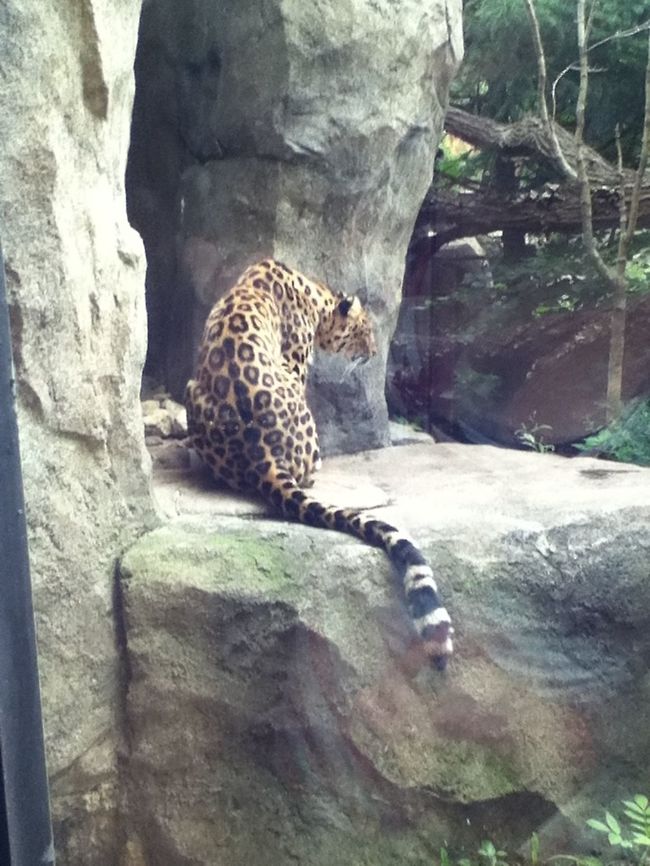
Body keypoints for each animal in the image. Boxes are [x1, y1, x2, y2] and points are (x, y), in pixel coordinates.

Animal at [185, 259, 454, 668]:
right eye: (364, 331)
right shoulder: (296, 361)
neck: (315, 293)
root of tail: (261, 455)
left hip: (190, 389)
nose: (372, 352)